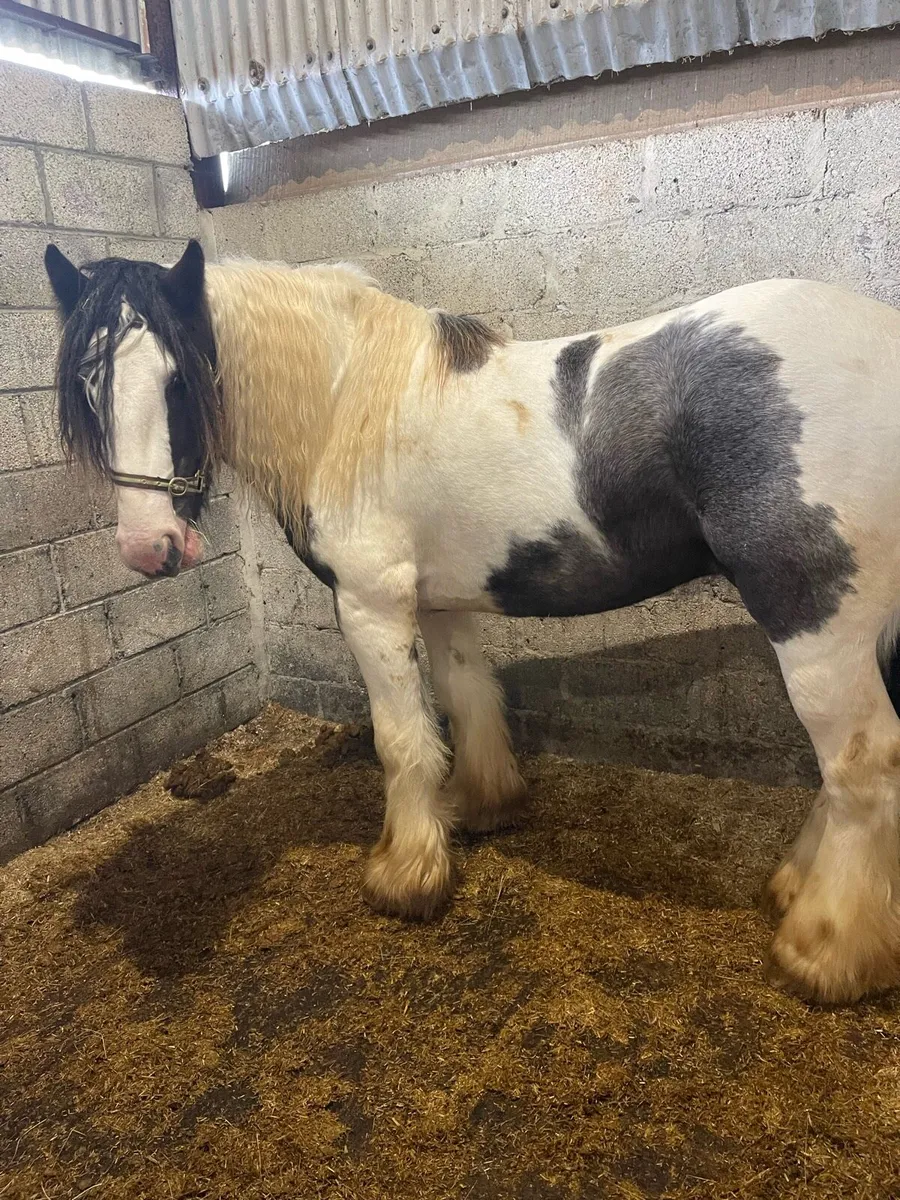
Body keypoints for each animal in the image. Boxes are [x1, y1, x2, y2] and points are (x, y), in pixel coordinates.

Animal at [44, 238, 900, 1005]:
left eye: (179, 379)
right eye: (88, 383)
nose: (148, 546)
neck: (346, 403)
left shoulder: (370, 604)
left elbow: (399, 742)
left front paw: (406, 876)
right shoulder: (440, 602)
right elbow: (464, 700)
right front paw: (482, 807)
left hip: (811, 615)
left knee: (862, 763)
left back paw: (826, 949)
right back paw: (796, 888)